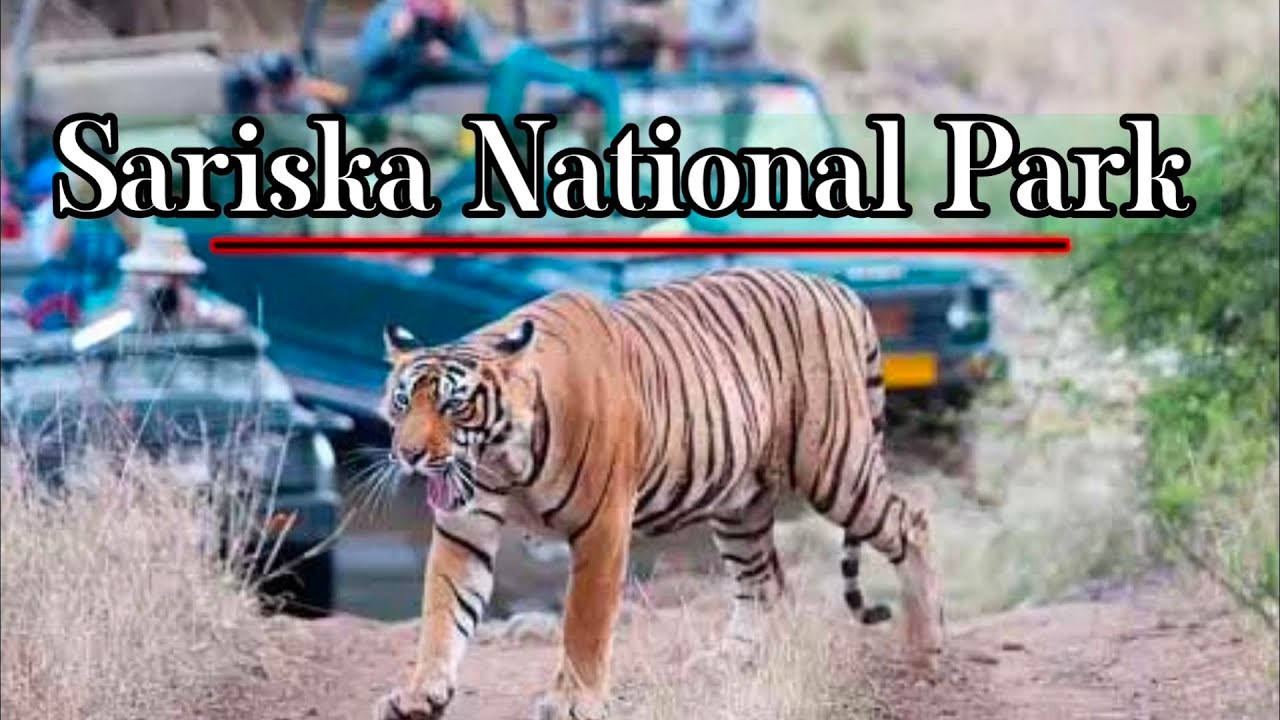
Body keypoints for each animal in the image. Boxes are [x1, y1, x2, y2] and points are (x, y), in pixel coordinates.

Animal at [373, 267, 943, 720]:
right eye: (403, 402)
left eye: (454, 405)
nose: (409, 454)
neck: (502, 459)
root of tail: (837, 288)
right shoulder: (464, 529)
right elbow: (442, 613)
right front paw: (420, 695)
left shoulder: (601, 528)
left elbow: (583, 622)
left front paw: (573, 701)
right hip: (740, 503)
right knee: (763, 581)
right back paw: (730, 661)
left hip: (835, 467)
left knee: (911, 523)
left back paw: (925, 646)